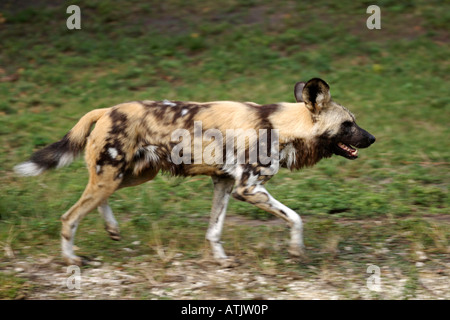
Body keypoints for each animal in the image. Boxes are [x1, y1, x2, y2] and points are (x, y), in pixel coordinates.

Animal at [14, 79, 374, 266]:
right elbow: (296, 217)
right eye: (348, 124)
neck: (281, 126)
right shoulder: (248, 188)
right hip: (112, 176)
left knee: (97, 199)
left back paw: (112, 229)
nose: (372, 138)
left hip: (131, 175)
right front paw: (297, 250)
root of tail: (107, 109)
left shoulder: (225, 184)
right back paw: (71, 260)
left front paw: (221, 261)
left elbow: (214, 230)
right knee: (69, 217)